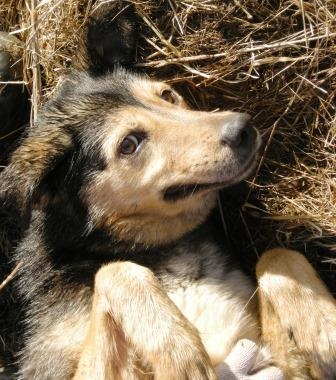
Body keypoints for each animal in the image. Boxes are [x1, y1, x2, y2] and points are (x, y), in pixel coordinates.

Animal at [0, 2, 336, 380]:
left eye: (166, 95)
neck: (161, 251)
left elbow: (278, 255)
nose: (242, 129)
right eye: (129, 144)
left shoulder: (277, 362)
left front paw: (322, 326)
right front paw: (178, 350)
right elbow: (116, 271)